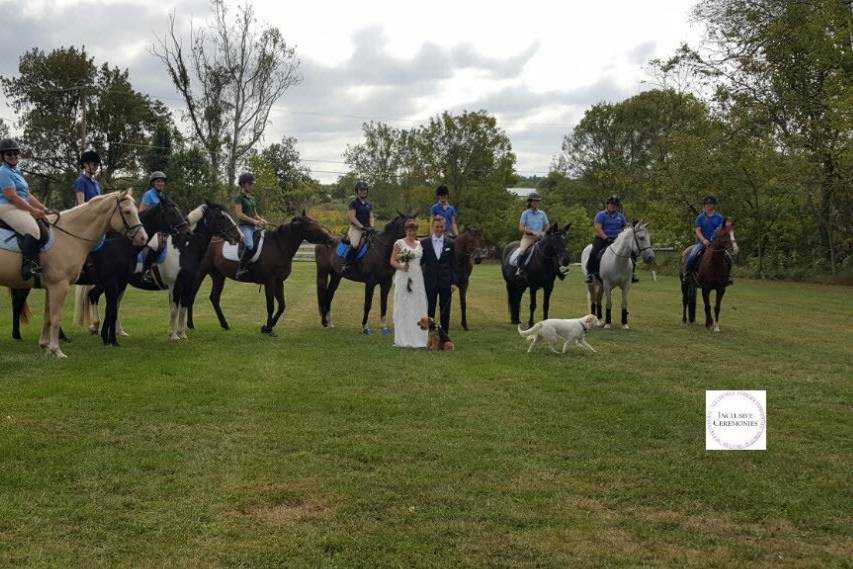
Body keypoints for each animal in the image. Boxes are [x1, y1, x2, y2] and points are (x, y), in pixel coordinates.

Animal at [0, 191, 146, 358]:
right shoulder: (60, 286)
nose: (143, 237)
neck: (69, 237)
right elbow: (57, 317)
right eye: (127, 212)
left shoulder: (51, 287)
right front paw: (57, 350)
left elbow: (48, 316)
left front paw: (45, 346)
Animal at [10, 197, 186, 344]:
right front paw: (111, 339)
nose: (186, 230)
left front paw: (105, 335)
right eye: (172, 212)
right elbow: (111, 308)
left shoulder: (117, 282)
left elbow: (111, 307)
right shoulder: (111, 282)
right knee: (18, 302)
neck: (118, 244)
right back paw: (18, 335)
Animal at [200, 213, 332, 338]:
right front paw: (269, 329)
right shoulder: (270, 281)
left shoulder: (279, 282)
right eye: (310, 226)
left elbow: (282, 306)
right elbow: (271, 306)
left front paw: (267, 326)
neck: (279, 246)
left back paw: (225, 325)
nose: (329, 239)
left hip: (218, 276)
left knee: (214, 298)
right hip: (202, 272)